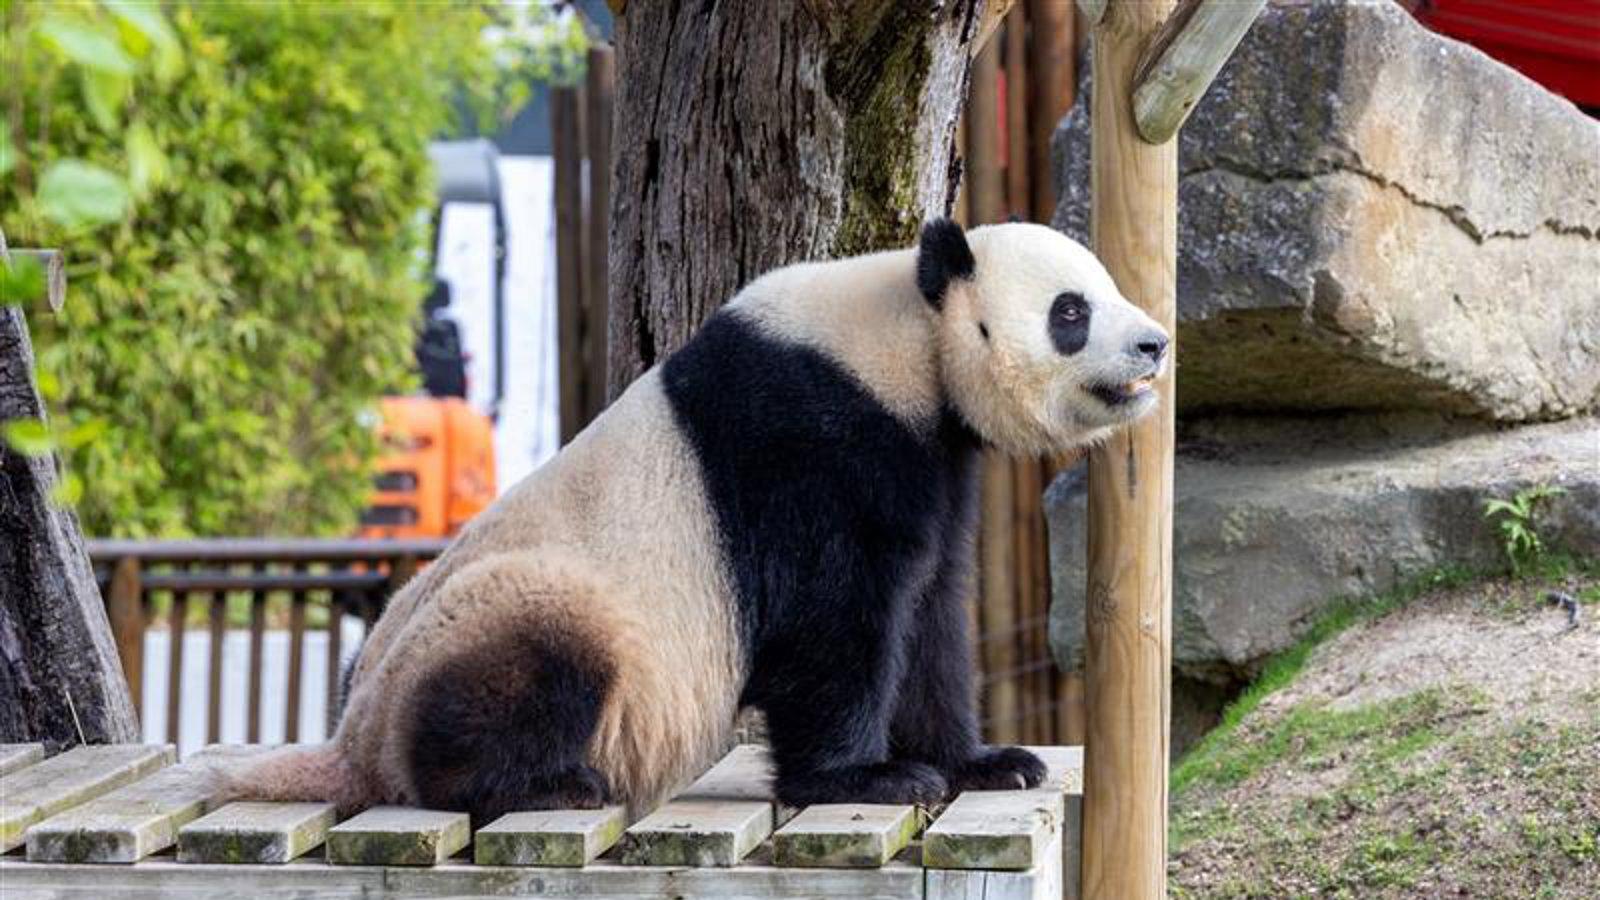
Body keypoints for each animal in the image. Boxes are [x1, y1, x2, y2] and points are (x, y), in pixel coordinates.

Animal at [226, 219, 1169, 824]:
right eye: (1072, 311)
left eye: (1107, 289)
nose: (1155, 344)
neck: (909, 336)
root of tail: (351, 741)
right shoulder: (815, 438)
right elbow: (836, 619)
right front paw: (871, 777)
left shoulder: (932, 456)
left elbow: (931, 611)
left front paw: (988, 763)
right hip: (515, 612)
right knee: (530, 653)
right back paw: (542, 784)